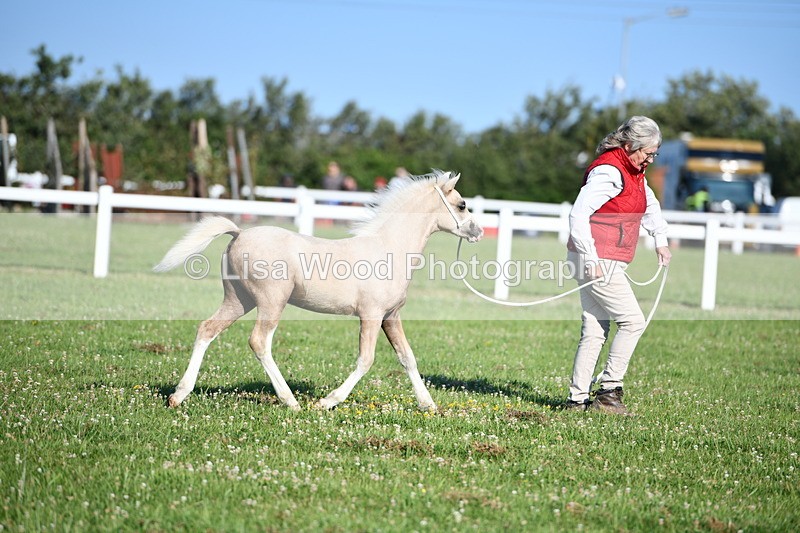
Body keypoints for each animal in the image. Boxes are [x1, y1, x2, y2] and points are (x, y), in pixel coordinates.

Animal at [154, 170, 483, 411]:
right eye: (462, 205)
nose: (478, 232)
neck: (389, 247)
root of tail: (238, 232)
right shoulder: (371, 315)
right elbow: (366, 360)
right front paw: (327, 402)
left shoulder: (391, 317)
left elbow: (408, 358)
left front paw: (429, 405)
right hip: (271, 302)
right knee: (259, 342)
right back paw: (291, 401)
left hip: (239, 301)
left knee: (207, 329)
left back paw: (178, 395)